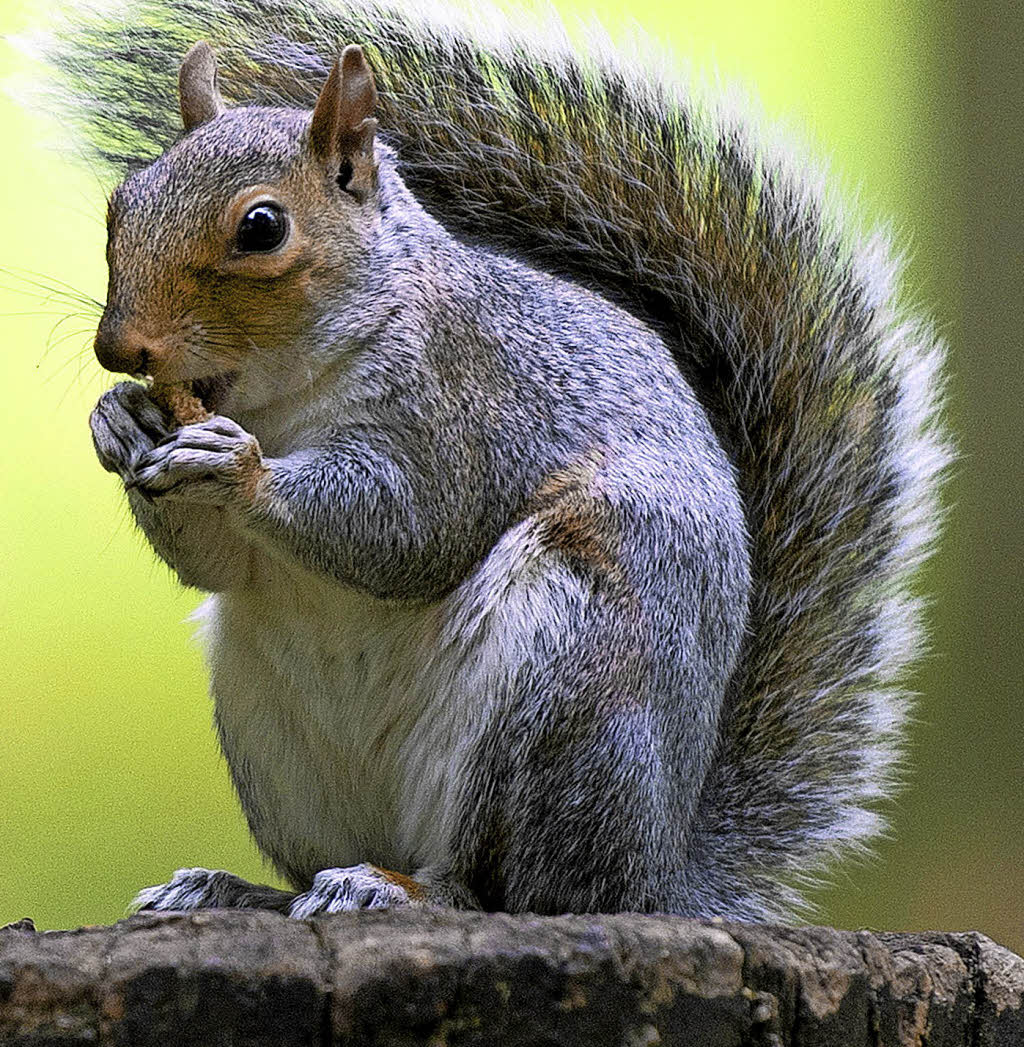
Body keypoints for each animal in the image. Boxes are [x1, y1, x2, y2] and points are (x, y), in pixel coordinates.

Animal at [39, 0, 946, 917]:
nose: (119, 348)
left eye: (262, 227)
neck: (285, 395)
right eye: (122, 204)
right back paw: (232, 888)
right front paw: (120, 420)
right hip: (274, 740)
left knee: (497, 887)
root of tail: (652, 878)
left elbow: (413, 529)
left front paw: (237, 466)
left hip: (562, 683)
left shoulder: (467, 407)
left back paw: (396, 886)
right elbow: (220, 566)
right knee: (315, 868)